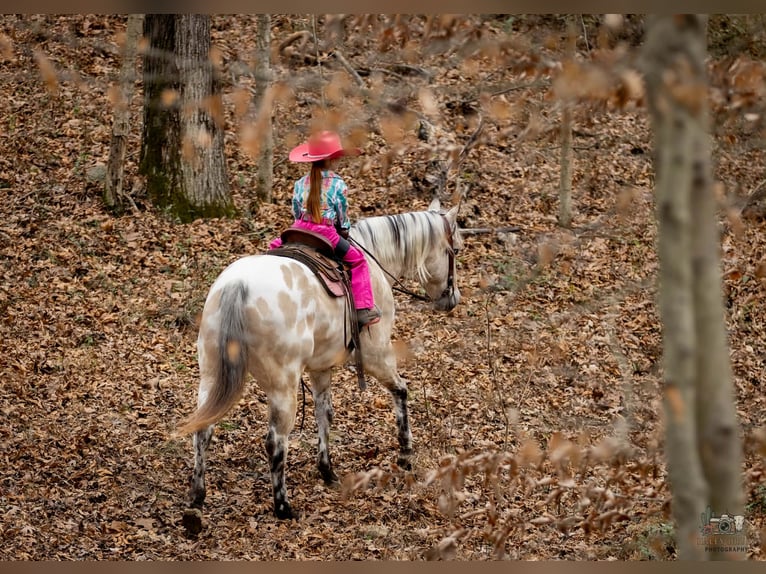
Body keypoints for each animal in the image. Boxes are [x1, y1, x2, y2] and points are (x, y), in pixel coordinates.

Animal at [177, 197, 463, 524]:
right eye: (455, 250)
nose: (453, 299)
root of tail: (238, 287)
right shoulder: (377, 355)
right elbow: (401, 391)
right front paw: (405, 454)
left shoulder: (321, 368)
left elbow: (323, 413)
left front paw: (327, 470)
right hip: (283, 387)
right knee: (276, 442)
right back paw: (283, 507)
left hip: (211, 375)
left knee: (203, 430)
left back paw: (197, 499)